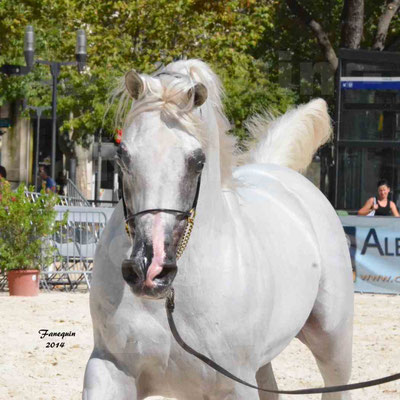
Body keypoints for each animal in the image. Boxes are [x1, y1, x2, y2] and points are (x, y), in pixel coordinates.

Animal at [82, 59, 354, 400]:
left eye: (197, 161)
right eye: (122, 155)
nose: (149, 269)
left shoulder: (234, 385)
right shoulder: (109, 367)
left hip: (334, 345)